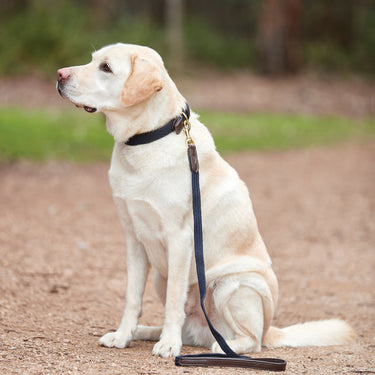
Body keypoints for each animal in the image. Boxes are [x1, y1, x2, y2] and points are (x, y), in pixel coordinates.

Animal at [56, 43, 356, 358]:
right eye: (92, 60)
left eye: (106, 68)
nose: (59, 74)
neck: (146, 138)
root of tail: (270, 329)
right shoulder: (134, 240)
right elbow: (132, 299)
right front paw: (124, 335)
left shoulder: (179, 239)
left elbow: (173, 302)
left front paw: (168, 344)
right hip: (161, 277)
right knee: (190, 327)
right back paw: (147, 332)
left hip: (232, 285)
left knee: (251, 341)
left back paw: (220, 347)